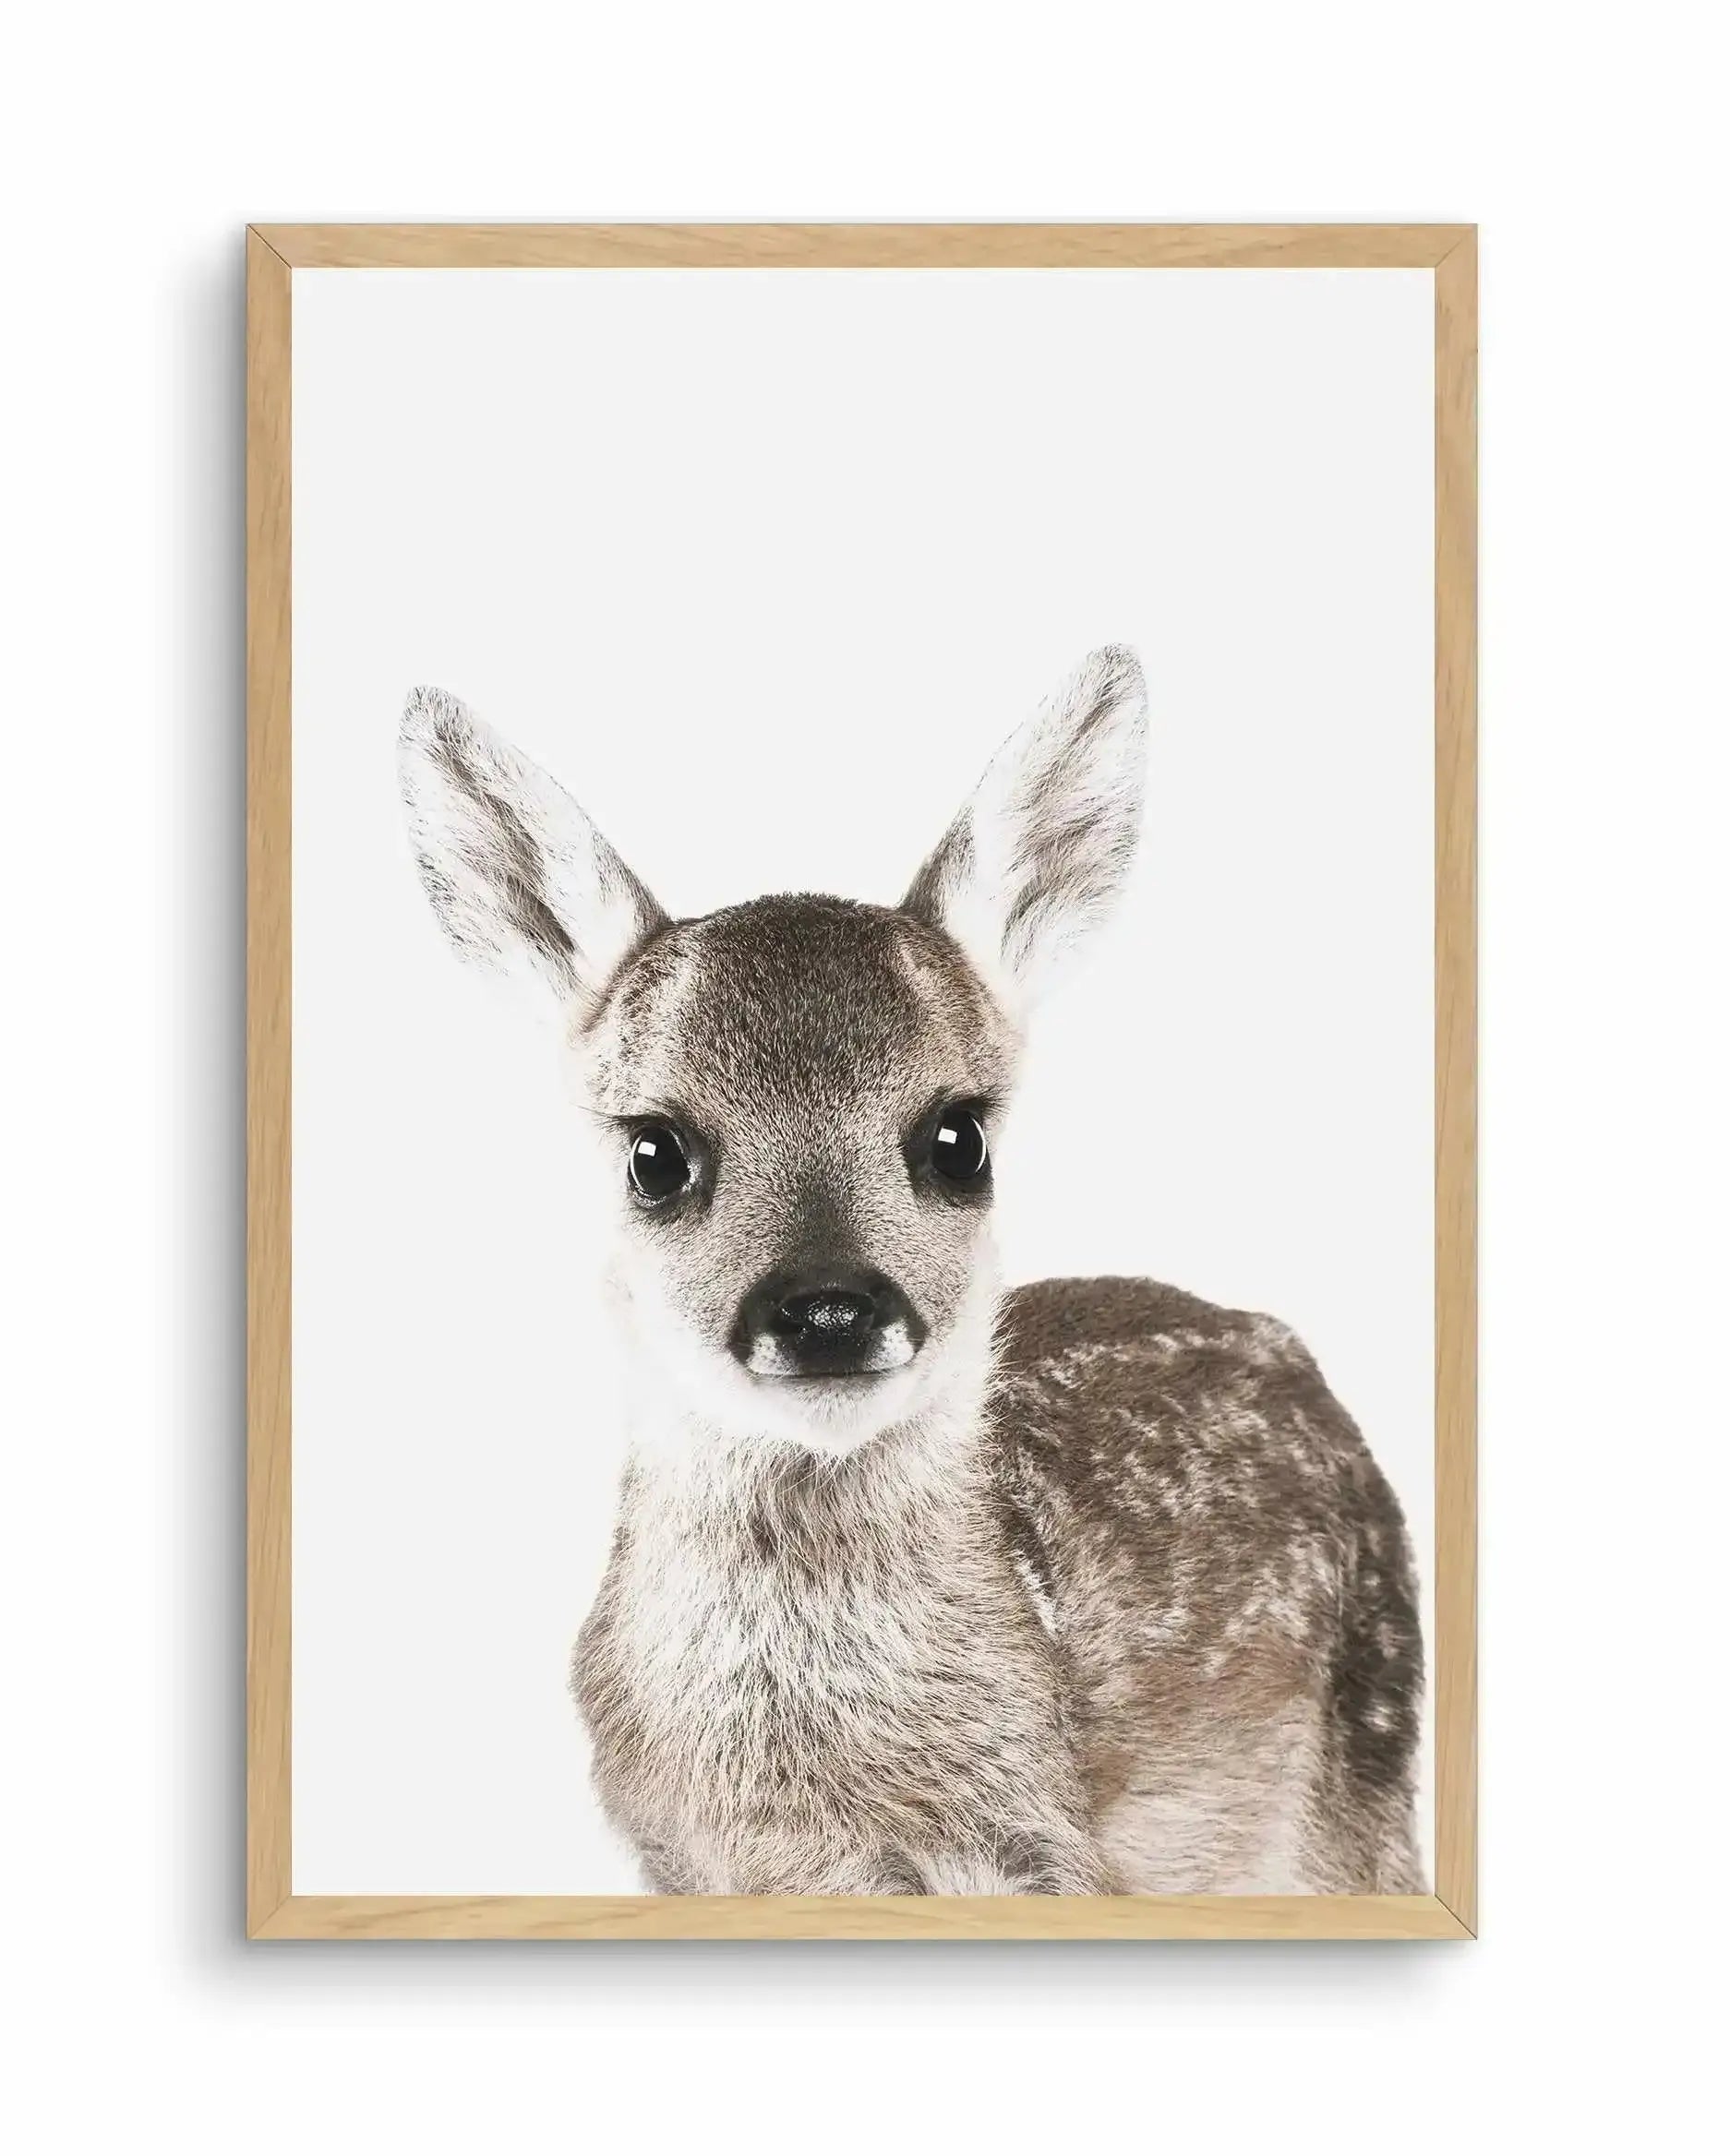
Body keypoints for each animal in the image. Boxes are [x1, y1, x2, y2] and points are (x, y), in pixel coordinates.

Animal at [397, 646, 1423, 1896]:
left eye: (957, 1137)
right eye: (653, 1151)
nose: (829, 1307)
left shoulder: (1046, 1844)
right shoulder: (674, 1856)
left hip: (1366, 1767)